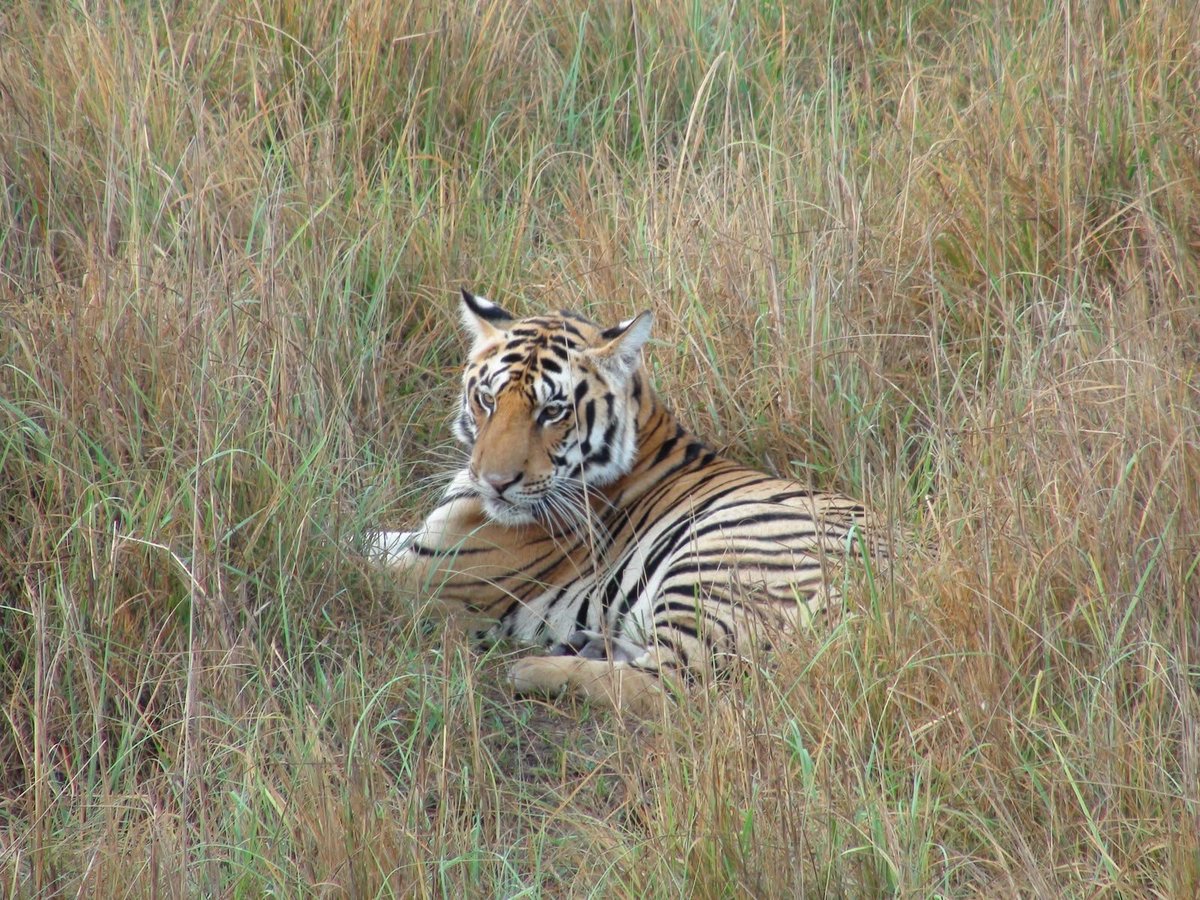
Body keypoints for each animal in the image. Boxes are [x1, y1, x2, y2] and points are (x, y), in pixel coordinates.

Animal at [370, 288, 890, 713]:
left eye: (552, 411)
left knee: (672, 686)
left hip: (714, 562)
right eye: (487, 400)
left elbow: (358, 566)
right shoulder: (419, 544)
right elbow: (370, 539)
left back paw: (533, 670)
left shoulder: (434, 576)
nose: (495, 483)